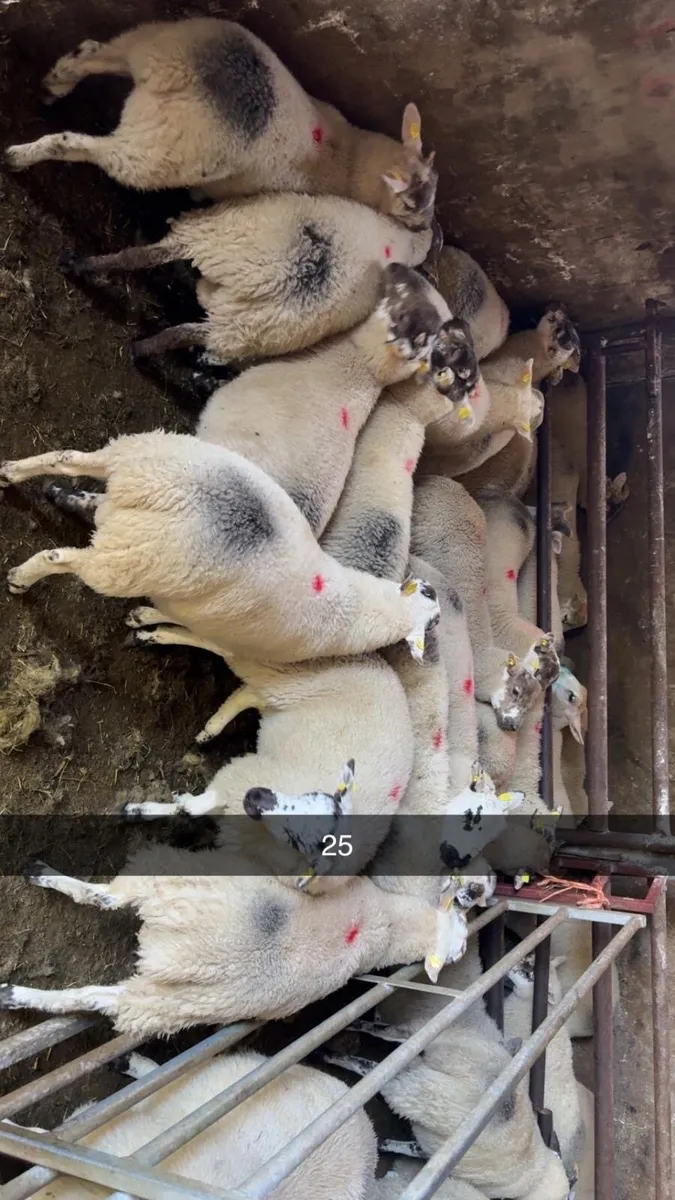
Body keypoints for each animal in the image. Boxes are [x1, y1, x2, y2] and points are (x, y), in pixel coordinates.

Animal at [0, 843, 471, 1036]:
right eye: (463, 940)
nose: (467, 947)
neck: (387, 926)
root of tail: (178, 954)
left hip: (164, 994)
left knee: (95, 979)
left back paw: (15, 992)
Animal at [1, 431, 442, 669]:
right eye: (433, 620)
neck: (360, 609)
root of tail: (173, 496)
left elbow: (171, 613)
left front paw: (144, 617)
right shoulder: (238, 648)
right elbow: (194, 638)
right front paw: (154, 634)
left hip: (136, 457)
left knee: (68, 460)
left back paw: (16, 474)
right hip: (124, 561)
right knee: (61, 558)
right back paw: (20, 580)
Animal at [5, 19, 437, 219]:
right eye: (413, 206)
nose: (428, 231)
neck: (347, 158)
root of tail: (192, 75)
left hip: (151, 44)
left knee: (89, 52)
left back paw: (53, 85)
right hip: (154, 154)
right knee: (73, 143)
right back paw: (19, 157)